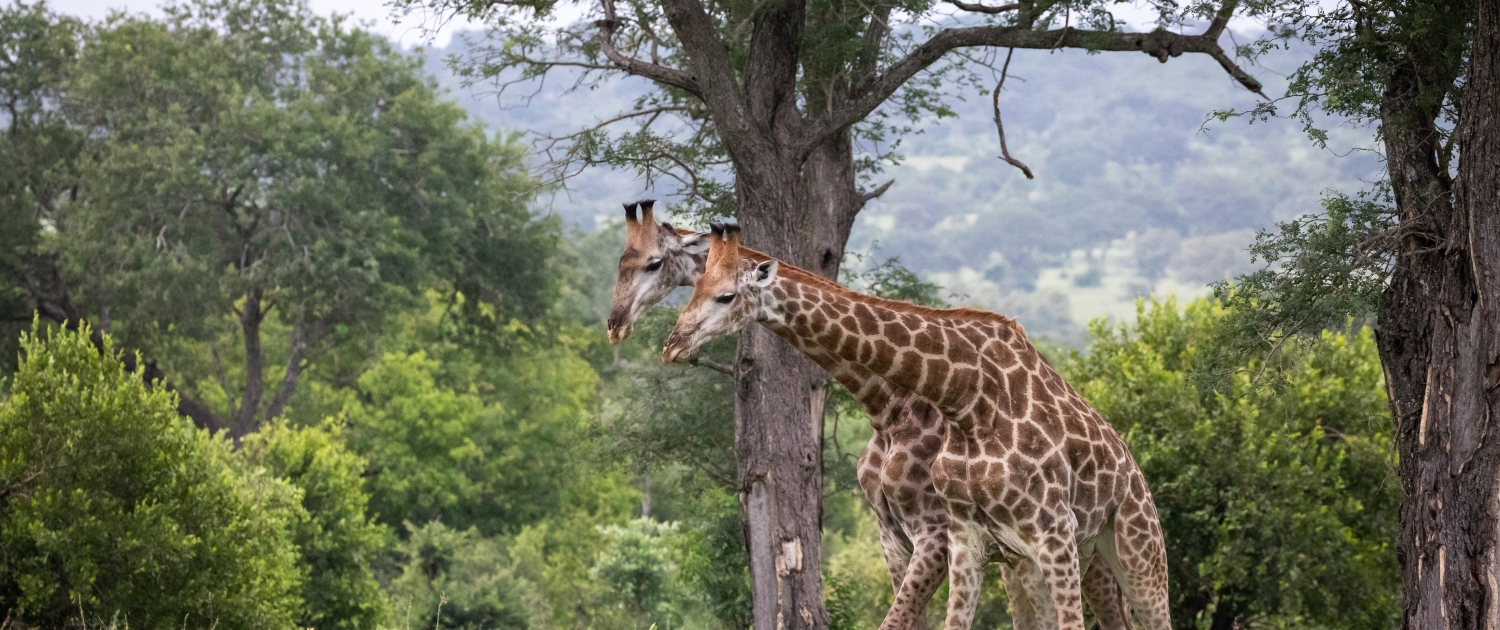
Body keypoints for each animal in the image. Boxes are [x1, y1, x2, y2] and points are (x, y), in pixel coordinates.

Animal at [662, 225, 1170, 630]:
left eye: (726, 295)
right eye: (695, 287)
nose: (672, 344)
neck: (964, 400)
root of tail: (1137, 475)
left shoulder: (1030, 532)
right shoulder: (955, 539)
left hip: (1134, 551)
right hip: (1047, 561)